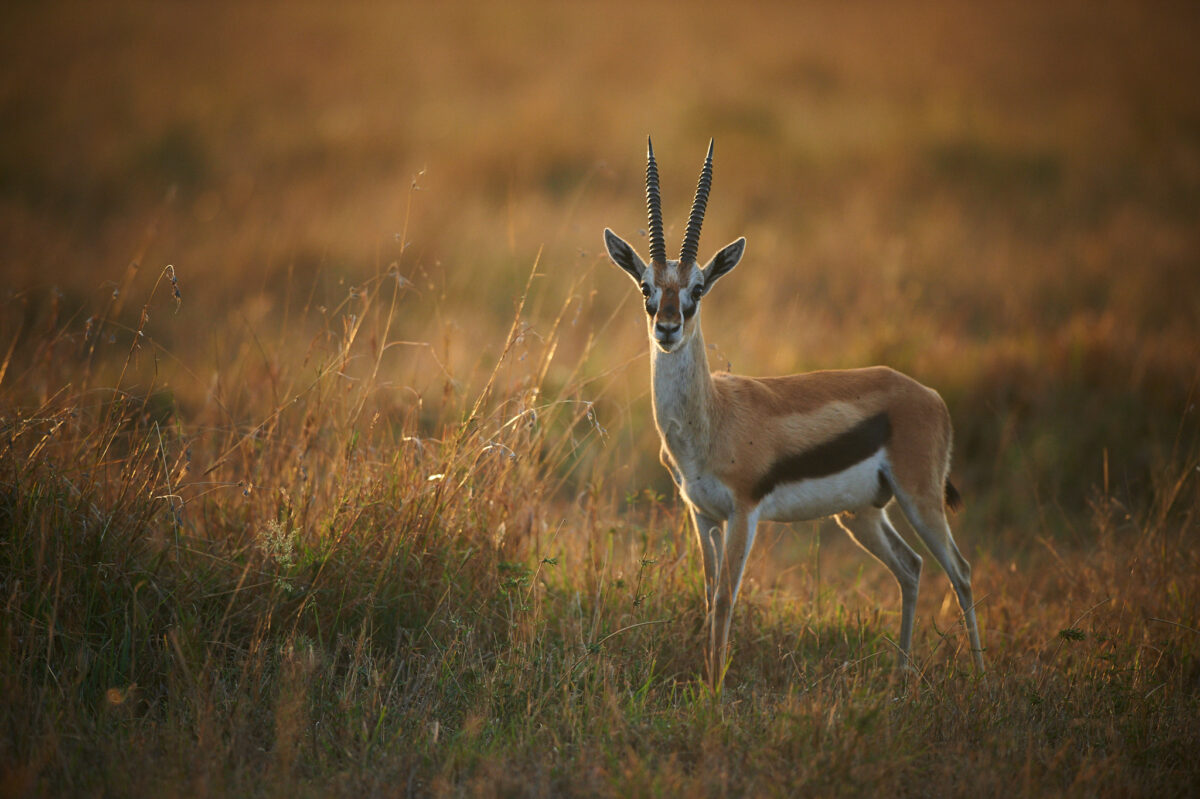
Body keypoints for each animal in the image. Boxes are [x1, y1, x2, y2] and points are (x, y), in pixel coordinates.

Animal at [603, 138, 984, 689]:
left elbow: (725, 599)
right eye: (646, 288)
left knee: (961, 571)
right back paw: (898, 677)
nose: (668, 328)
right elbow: (707, 594)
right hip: (862, 513)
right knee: (911, 567)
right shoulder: (702, 515)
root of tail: (928, 395)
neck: (711, 421)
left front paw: (714, 692)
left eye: (698, 288)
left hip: (920, 499)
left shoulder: (743, 514)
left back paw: (979, 678)